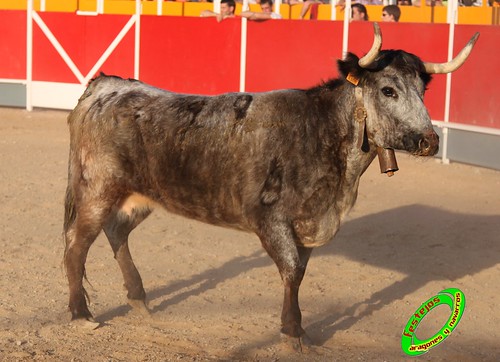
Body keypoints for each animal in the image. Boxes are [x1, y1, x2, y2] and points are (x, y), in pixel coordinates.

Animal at [64, 23, 478, 350]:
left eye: (422, 91)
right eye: (388, 90)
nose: (429, 141)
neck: (321, 133)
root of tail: (104, 85)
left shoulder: (309, 223)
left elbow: (300, 272)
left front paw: (298, 330)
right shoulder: (271, 220)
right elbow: (291, 271)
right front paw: (293, 333)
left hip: (139, 196)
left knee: (116, 232)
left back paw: (138, 299)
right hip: (97, 189)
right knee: (77, 245)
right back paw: (81, 314)